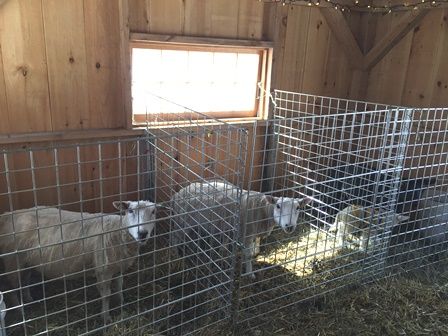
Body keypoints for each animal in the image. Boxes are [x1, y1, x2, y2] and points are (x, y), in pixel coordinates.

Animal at [0, 201, 158, 324]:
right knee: (11, 288)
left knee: (24, 281)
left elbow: (119, 286)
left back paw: (29, 299)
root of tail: (6, 216)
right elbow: (106, 295)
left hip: (25, 261)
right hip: (12, 260)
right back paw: (20, 311)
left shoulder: (118, 266)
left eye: (153, 212)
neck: (117, 231)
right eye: (130, 210)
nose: (142, 233)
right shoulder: (103, 269)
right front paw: (105, 317)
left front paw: (121, 303)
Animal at [170, 180, 310, 280]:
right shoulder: (246, 234)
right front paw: (249, 274)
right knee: (175, 240)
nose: (289, 226)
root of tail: (178, 193)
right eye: (278, 206)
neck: (262, 209)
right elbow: (248, 256)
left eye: (298, 208)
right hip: (181, 223)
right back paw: (177, 259)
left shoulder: (253, 233)